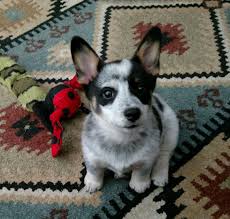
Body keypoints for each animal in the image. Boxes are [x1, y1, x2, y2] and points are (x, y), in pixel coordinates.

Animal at [71, 26, 179, 192]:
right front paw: (92, 182)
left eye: (140, 88)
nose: (133, 113)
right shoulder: (91, 155)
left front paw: (139, 184)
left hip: (171, 130)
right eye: (107, 93)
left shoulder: (147, 159)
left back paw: (160, 175)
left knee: (163, 155)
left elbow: (141, 171)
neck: (120, 138)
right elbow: (94, 169)